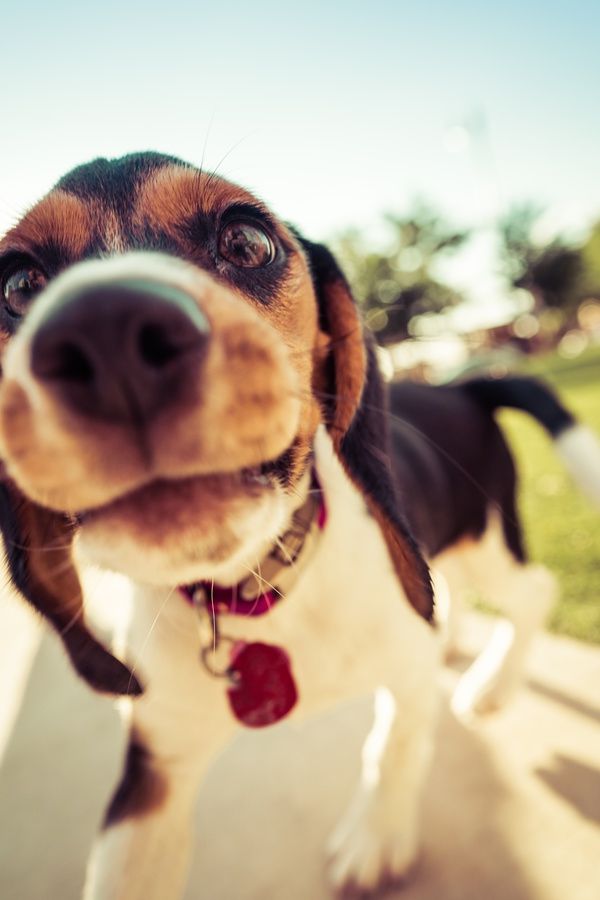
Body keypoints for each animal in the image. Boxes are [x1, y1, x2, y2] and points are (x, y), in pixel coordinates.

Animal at [0, 151, 596, 896]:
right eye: (18, 285)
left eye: (247, 240)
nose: (106, 331)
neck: (260, 591)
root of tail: (463, 386)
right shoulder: (155, 767)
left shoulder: (404, 669)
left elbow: (394, 745)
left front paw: (376, 837)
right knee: (451, 594)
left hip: (487, 538)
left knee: (534, 592)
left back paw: (490, 685)